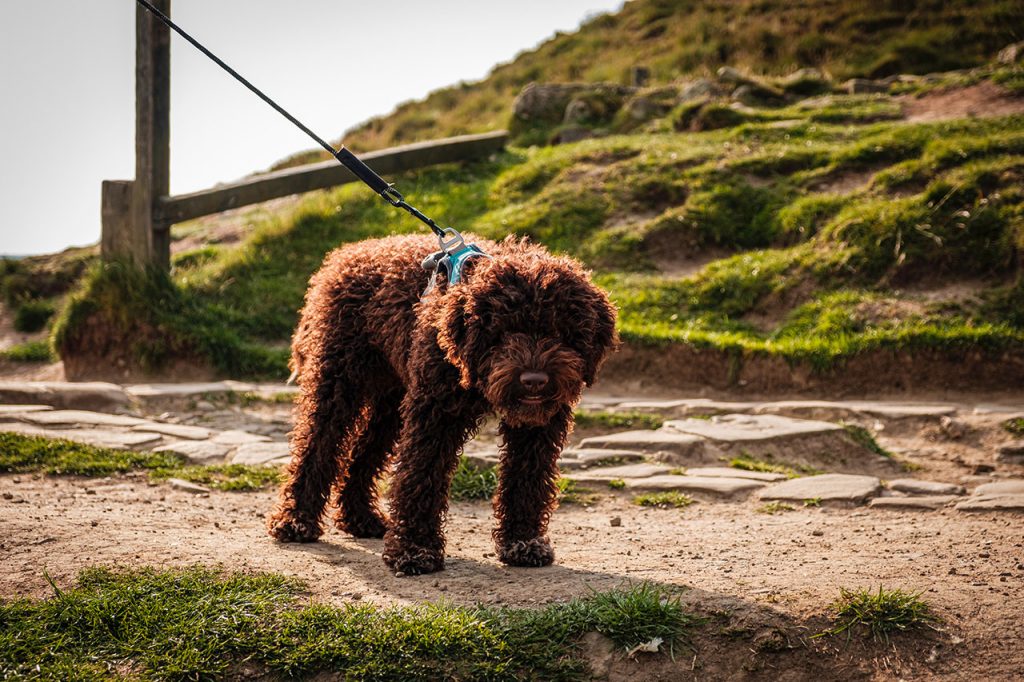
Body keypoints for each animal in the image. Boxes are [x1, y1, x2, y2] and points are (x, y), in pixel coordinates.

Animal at [268, 231, 614, 569]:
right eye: (502, 331)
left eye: (561, 331)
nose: (534, 380)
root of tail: (343, 256)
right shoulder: (434, 413)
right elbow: (421, 474)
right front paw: (415, 550)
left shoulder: (538, 426)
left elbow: (527, 478)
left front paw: (523, 541)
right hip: (338, 384)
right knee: (316, 445)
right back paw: (296, 520)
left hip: (391, 404)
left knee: (363, 454)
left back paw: (360, 518)